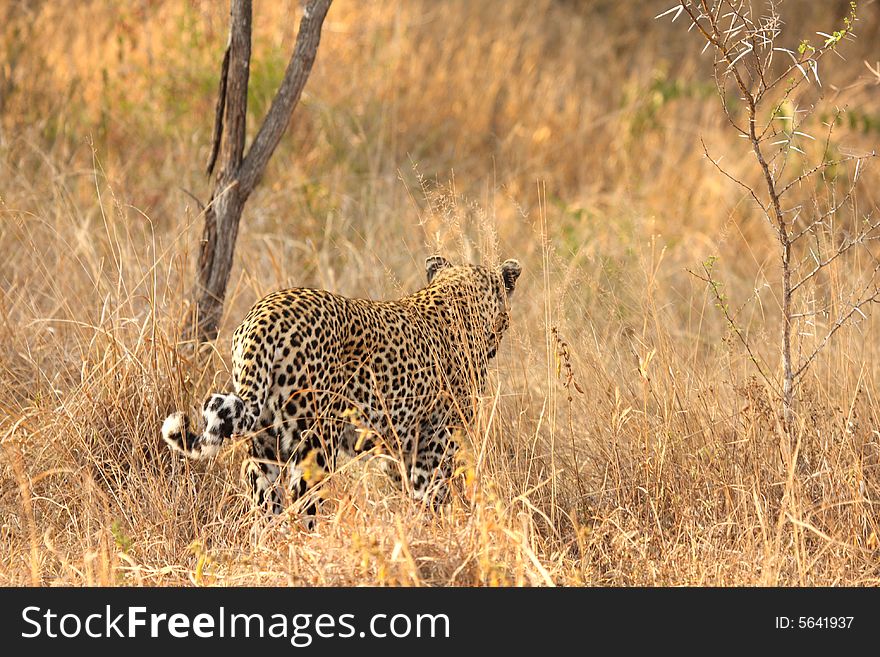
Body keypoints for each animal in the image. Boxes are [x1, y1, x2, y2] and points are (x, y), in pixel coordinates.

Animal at [161, 256, 520, 524]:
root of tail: (265, 314)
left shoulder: (398, 445)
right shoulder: (436, 441)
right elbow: (434, 495)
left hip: (263, 442)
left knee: (264, 502)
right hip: (316, 440)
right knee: (303, 505)